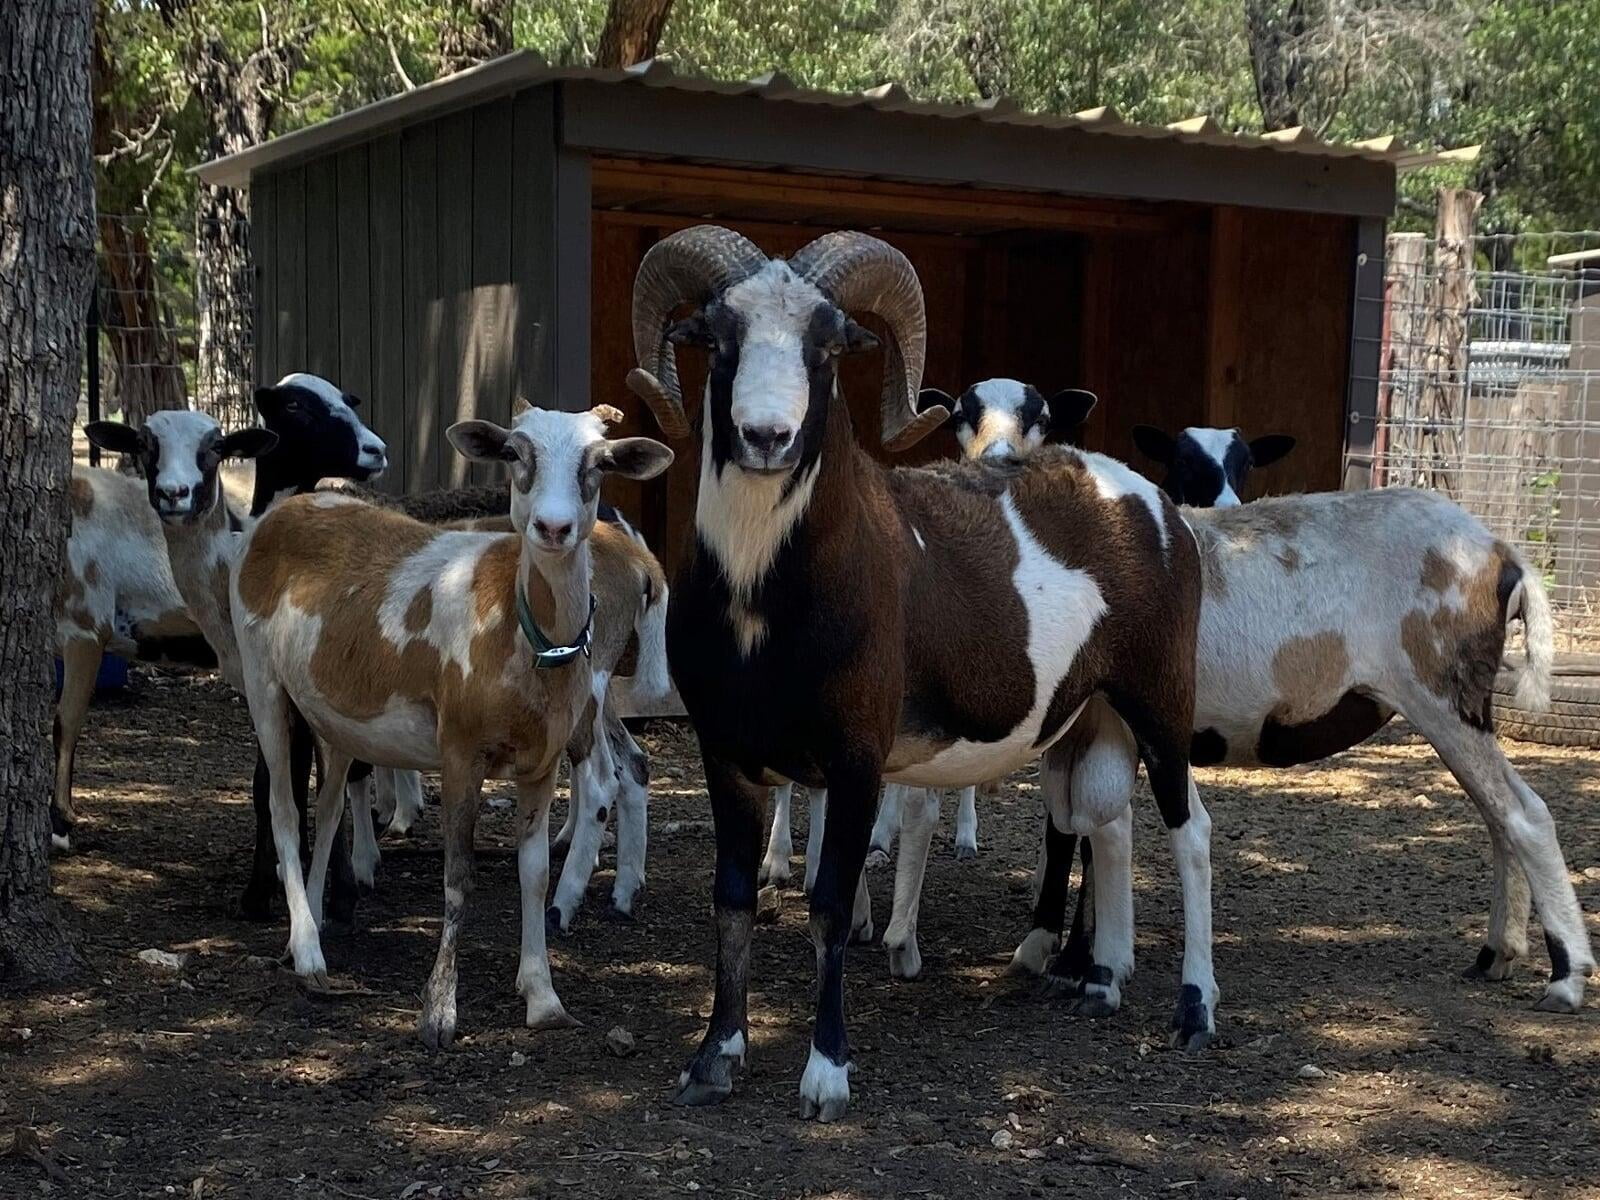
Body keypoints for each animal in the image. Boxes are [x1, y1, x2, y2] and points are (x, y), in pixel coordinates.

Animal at [230, 401, 668, 1043]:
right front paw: (438, 1012)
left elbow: (533, 873)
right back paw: (308, 953)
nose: (553, 528)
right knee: (284, 808)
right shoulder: (460, 750)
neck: (516, 632)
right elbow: (458, 877)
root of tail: (288, 508)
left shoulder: (540, 761)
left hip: (333, 711)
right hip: (262, 677)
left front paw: (542, 996)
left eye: (601, 462)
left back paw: (309, 928)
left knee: (330, 806)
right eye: (514, 453)